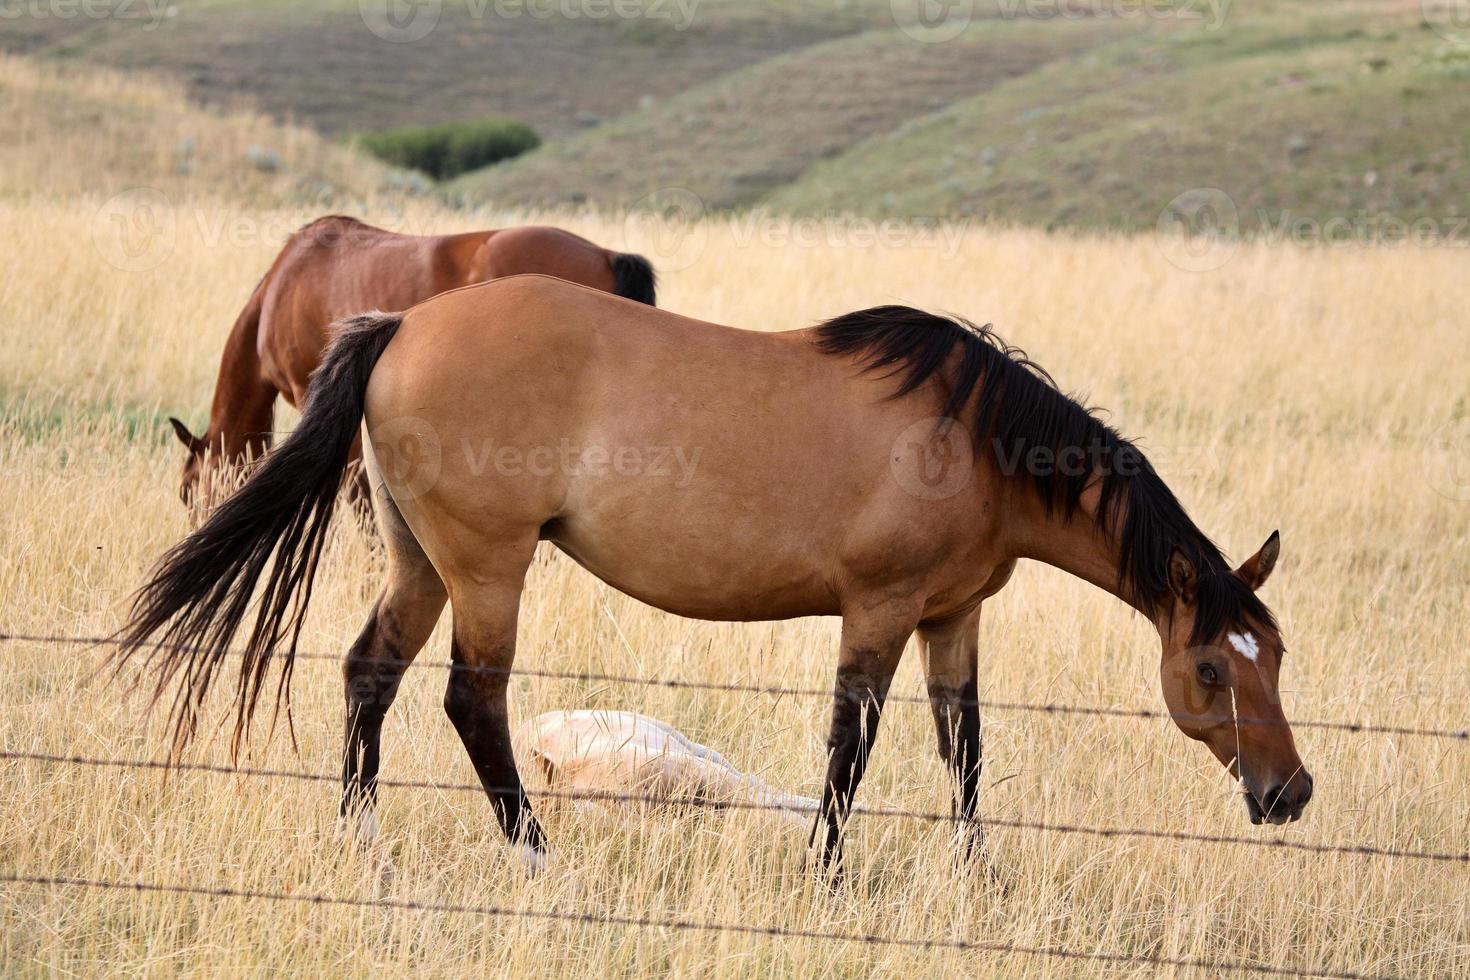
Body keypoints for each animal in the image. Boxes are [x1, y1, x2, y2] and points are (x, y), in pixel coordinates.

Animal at [114, 271, 1311, 875]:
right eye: (1211, 669)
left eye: (1278, 657)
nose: (1287, 792)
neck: (971, 441)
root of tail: (404, 321)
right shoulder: (878, 612)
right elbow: (850, 745)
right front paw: (829, 872)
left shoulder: (952, 618)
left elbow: (965, 748)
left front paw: (979, 875)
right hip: (488, 568)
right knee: (471, 700)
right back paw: (536, 855)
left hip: (418, 560)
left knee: (370, 673)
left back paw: (361, 837)